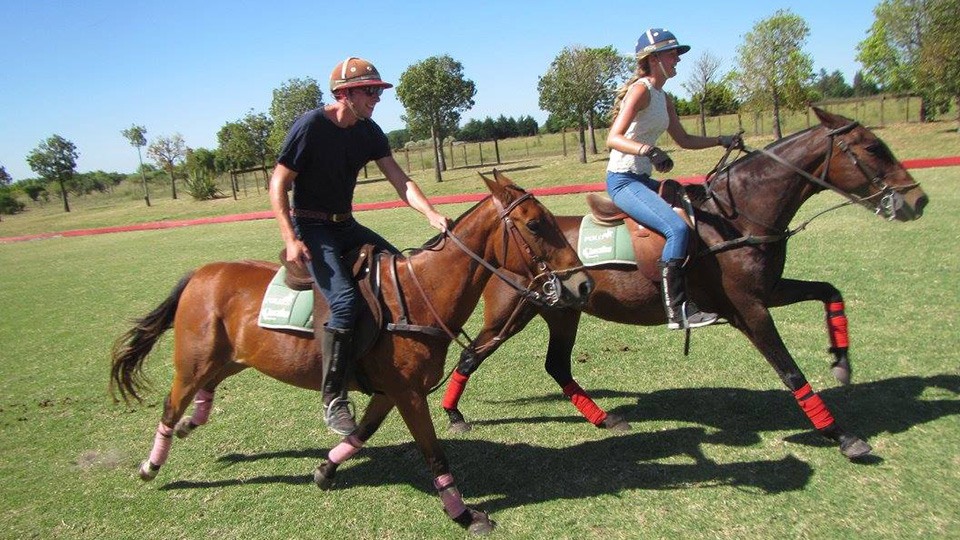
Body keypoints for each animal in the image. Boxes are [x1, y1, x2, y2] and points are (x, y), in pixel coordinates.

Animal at [110, 171, 592, 532]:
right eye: (535, 224)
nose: (583, 284)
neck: (420, 294)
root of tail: (198, 274)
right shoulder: (409, 394)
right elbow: (433, 451)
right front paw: (464, 514)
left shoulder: (390, 391)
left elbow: (361, 434)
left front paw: (325, 471)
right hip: (192, 362)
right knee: (170, 405)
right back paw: (152, 464)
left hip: (230, 359)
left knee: (204, 392)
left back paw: (192, 423)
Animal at [442, 106, 928, 460]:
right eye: (873, 148)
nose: (918, 200)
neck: (737, 216)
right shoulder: (749, 309)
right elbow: (791, 371)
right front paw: (841, 435)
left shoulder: (768, 291)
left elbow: (829, 289)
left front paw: (842, 362)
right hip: (512, 312)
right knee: (470, 355)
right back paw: (453, 414)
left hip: (562, 309)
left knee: (556, 365)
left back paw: (604, 419)